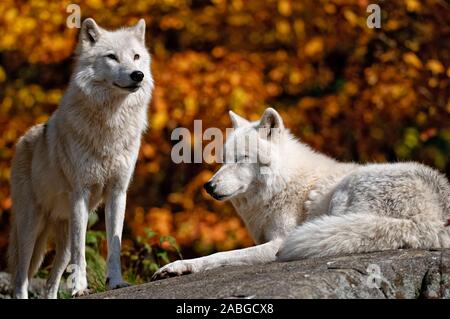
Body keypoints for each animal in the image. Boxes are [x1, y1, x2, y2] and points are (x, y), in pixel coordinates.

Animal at [8, 18, 153, 300]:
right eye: (112, 57)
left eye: (136, 57)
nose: (137, 75)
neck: (110, 125)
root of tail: (22, 139)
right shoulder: (80, 194)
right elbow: (81, 252)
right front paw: (79, 288)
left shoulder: (118, 192)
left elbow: (115, 244)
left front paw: (115, 282)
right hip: (30, 229)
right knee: (21, 278)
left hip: (60, 240)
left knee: (51, 283)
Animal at [154, 107, 446, 280]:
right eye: (223, 160)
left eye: (243, 158)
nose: (209, 186)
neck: (281, 184)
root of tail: (433, 220)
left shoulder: (278, 242)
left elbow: (221, 256)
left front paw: (179, 266)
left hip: (344, 193)